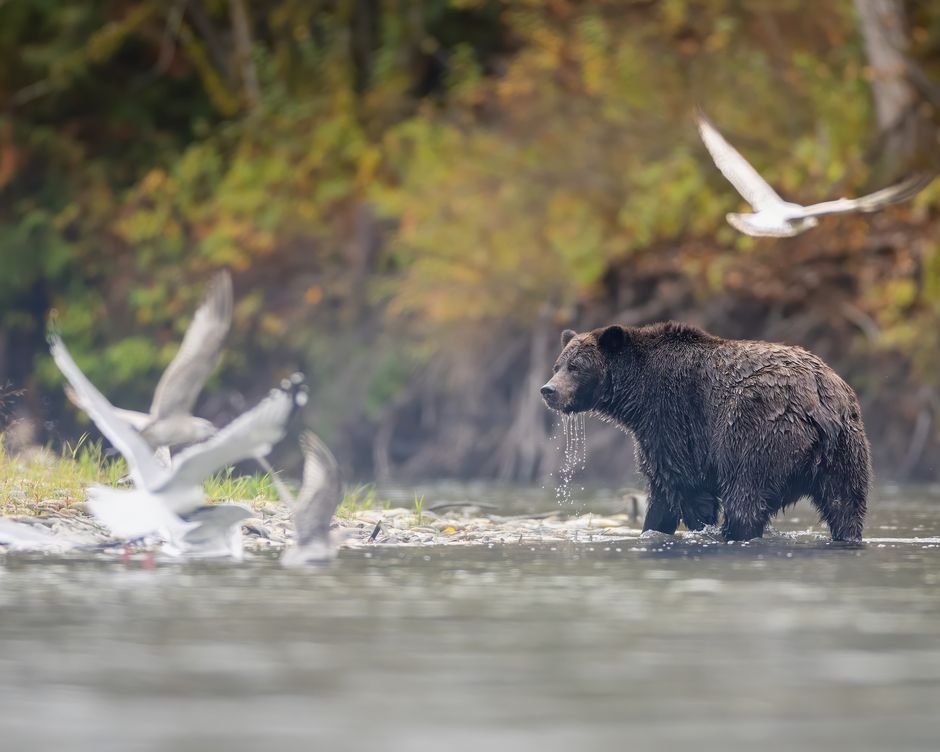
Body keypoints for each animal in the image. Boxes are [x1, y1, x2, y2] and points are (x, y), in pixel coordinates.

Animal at [540, 321, 871, 542]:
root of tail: (818, 398)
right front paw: (653, 528)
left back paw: (735, 532)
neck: (636, 398)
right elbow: (662, 492)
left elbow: (686, 487)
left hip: (759, 430)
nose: (548, 390)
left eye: (576, 366)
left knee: (746, 496)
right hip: (847, 447)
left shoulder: (673, 418)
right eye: (558, 365)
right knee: (845, 504)